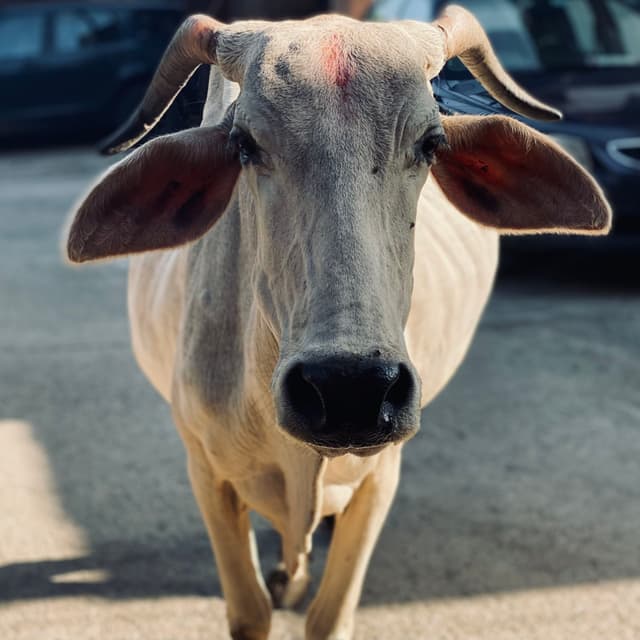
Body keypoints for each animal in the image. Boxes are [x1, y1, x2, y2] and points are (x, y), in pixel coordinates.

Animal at [65, 6, 611, 639]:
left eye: (432, 143)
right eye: (244, 144)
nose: (350, 388)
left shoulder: (380, 477)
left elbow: (329, 615)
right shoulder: (206, 471)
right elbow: (250, 611)